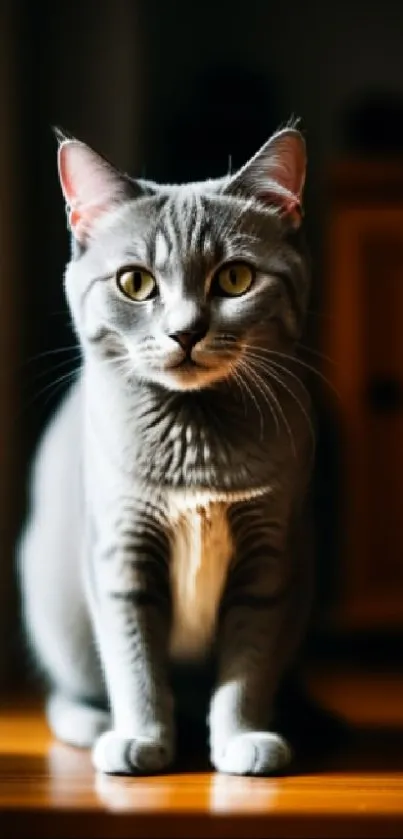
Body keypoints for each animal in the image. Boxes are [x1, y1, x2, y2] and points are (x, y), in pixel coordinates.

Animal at [18, 123, 316, 776]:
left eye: (235, 278)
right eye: (135, 282)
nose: (185, 331)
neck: (195, 438)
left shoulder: (267, 558)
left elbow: (247, 667)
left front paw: (242, 738)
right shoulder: (122, 550)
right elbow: (136, 664)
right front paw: (142, 739)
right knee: (68, 692)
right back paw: (92, 725)